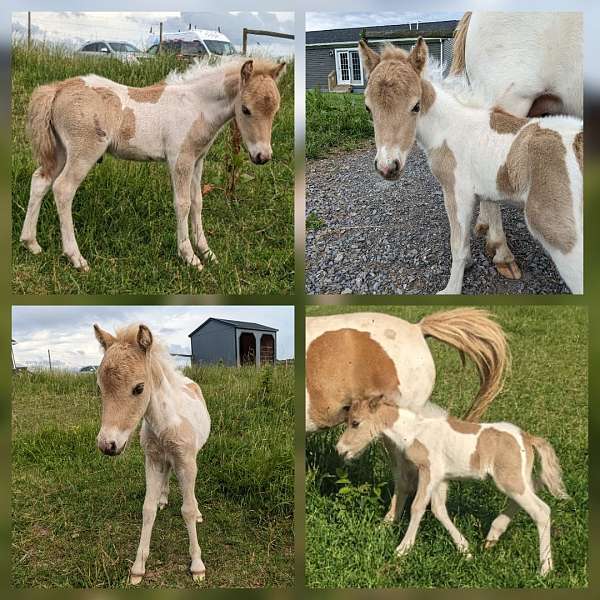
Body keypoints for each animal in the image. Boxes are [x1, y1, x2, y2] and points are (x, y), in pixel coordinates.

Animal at [22, 56, 284, 272]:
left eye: (275, 110)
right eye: (245, 109)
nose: (262, 156)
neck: (197, 106)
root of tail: (59, 88)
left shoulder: (197, 160)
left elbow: (198, 202)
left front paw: (207, 252)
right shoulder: (180, 159)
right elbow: (183, 203)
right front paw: (189, 256)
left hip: (60, 151)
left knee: (40, 181)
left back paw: (31, 243)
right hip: (83, 153)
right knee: (63, 189)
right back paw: (76, 257)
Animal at [94, 322, 211, 584]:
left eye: (139, 388)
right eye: (100, 387)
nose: (108, 445)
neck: (164, 424)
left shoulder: (186, 462)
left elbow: (187, 510)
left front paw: (197, 566)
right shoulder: (153, 460)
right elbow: (147, 510)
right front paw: (138, 568)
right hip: (165, 460)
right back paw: (163, 498)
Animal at [338, 396, 568, 576]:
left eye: (355, 423)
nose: (340, 450)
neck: (414, 432)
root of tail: (527, 437)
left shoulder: (429, 471)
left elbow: (418, 507)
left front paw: (402, 550)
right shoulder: (441, 479)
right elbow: (439, 510)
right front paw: (466, 550)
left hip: (510, 480)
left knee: (541, 510)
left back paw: (545, 569)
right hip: (518, 479)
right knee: (533, 490)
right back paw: (492, 537)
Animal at [358, 37, 584, 296]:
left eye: (416, 106)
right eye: (368, 108)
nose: (388, 167)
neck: (450, 125)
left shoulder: (457, 191)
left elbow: (457, 242)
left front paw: (451, 289)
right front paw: (469, 263)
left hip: (562, 238)